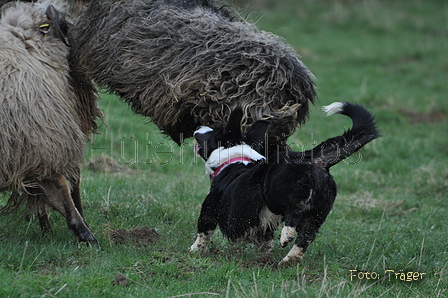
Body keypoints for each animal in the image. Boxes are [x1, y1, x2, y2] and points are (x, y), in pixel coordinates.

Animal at [191, 102, 380, 266]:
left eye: (213, 133)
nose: (198, 127)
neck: (235, 158)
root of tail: (312, 158)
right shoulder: (263, 226)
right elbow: (265, 242)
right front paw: (264, 256)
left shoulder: (210, 207)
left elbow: (204, 230)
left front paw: (195, 251)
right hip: (317, 213)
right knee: (307, 236)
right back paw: (289, 260)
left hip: (276, 196)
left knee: (294, 213)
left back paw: (286, 235)